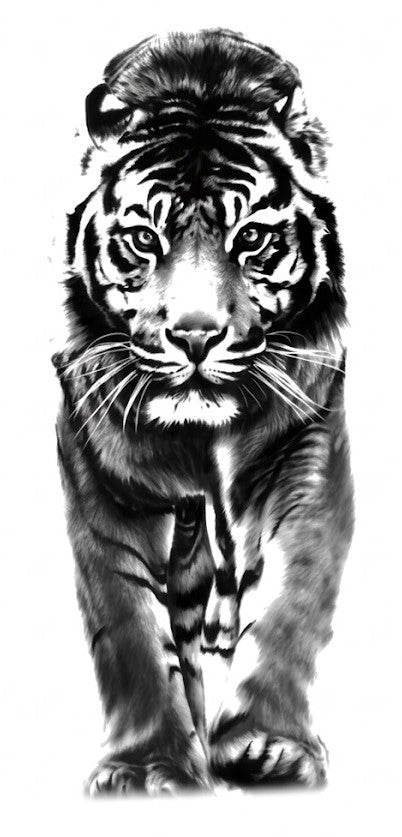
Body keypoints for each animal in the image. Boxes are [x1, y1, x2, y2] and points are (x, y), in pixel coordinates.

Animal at [53, 28, 354, 794]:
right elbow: (127, 628)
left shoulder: (307, 453)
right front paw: (144, 765)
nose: (194, 336)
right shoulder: (103, 481)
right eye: (143, 240)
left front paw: (271, 745)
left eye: (250, 240)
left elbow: (291, 602)